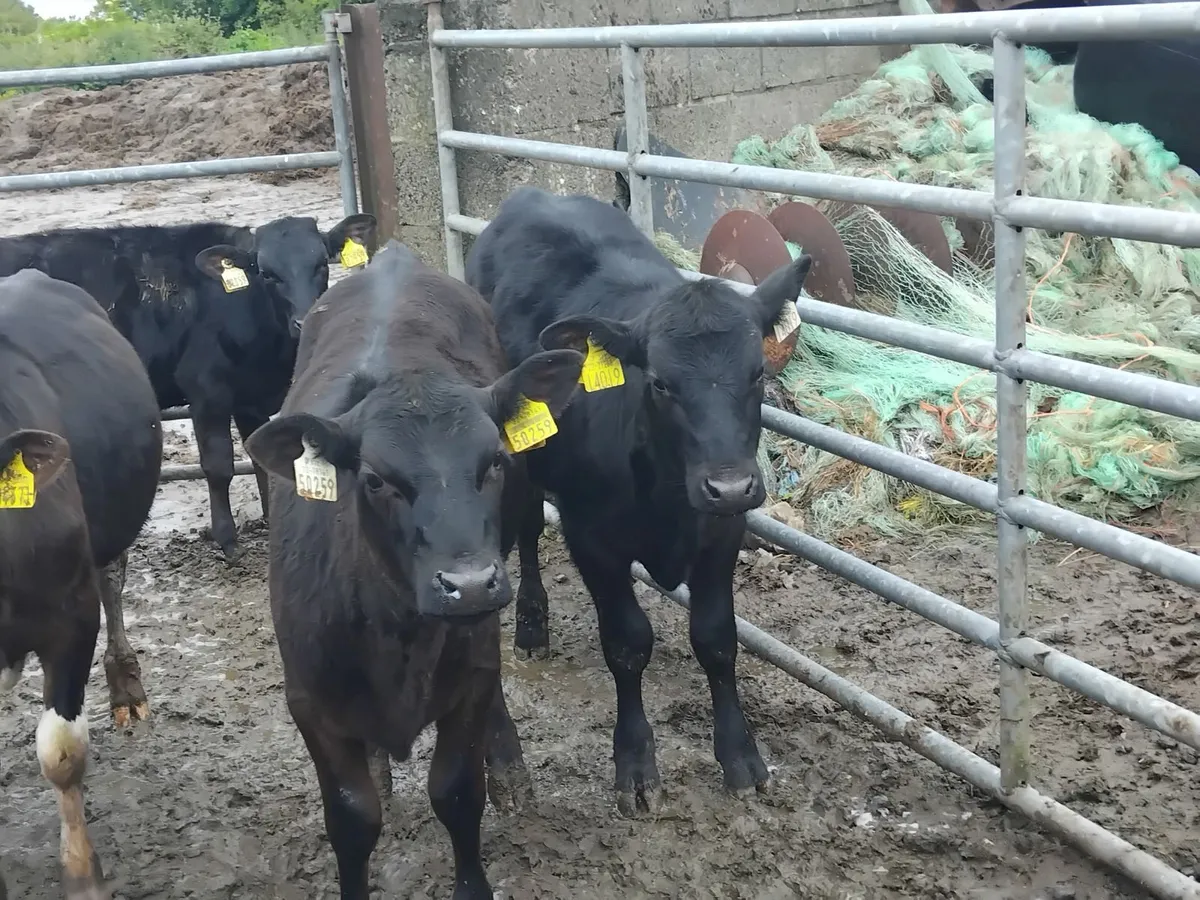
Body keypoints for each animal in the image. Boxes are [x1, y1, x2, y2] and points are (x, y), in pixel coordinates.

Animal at [0, 212, 377, 563]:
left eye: (320, 264)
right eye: (268, 273)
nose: (305, 319)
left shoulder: (250, 397)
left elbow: (259, 459)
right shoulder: (208, 391)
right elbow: (219, 465)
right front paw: (228, 540)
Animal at [242, 240, 585, 899]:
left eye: (495, 460)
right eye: (376, 479)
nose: (469, 585)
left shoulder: (470, 679)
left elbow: (456, 792)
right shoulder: (310, 703)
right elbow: (353, 817)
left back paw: (510, 769)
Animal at [465, 186, 812, 816]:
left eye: (756, 374)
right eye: (660, 383)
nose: (729, 485)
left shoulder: (722, 534)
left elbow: (717, 640)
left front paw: (740, 756)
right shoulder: (592, 538)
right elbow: (627, 643)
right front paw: (635, 763)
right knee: (527, 531)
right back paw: (530, 625)